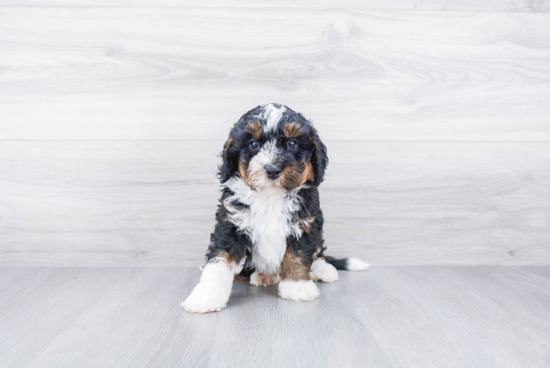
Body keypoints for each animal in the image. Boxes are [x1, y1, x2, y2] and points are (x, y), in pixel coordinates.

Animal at [182, 103, 370, 314]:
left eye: (292, 143)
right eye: (253, 145)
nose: (272, 169)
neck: (270, 197)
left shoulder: (306, 223)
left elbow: (298, 255)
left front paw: (297, 286)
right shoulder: (230, 223)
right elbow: (219, 262)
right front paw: (206, 296)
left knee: (318, 251)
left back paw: (323, 269)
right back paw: (264, 275)